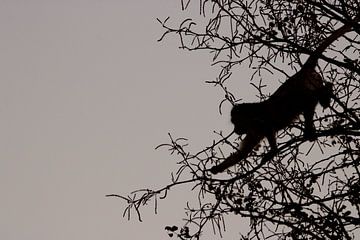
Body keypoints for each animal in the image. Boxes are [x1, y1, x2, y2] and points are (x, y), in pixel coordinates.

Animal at [210, 17, 358, 174]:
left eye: (236, 122)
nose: (235, 130)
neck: (251, 116)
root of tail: (302, 72)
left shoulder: (259, 121)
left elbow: (269, 127)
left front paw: (273, 151)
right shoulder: (254, 130)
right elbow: (242, 153)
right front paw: (218, 168)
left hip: (305, 84)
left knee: (308, 99)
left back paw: (314, 118)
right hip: (314, 79)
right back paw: (326, 95)